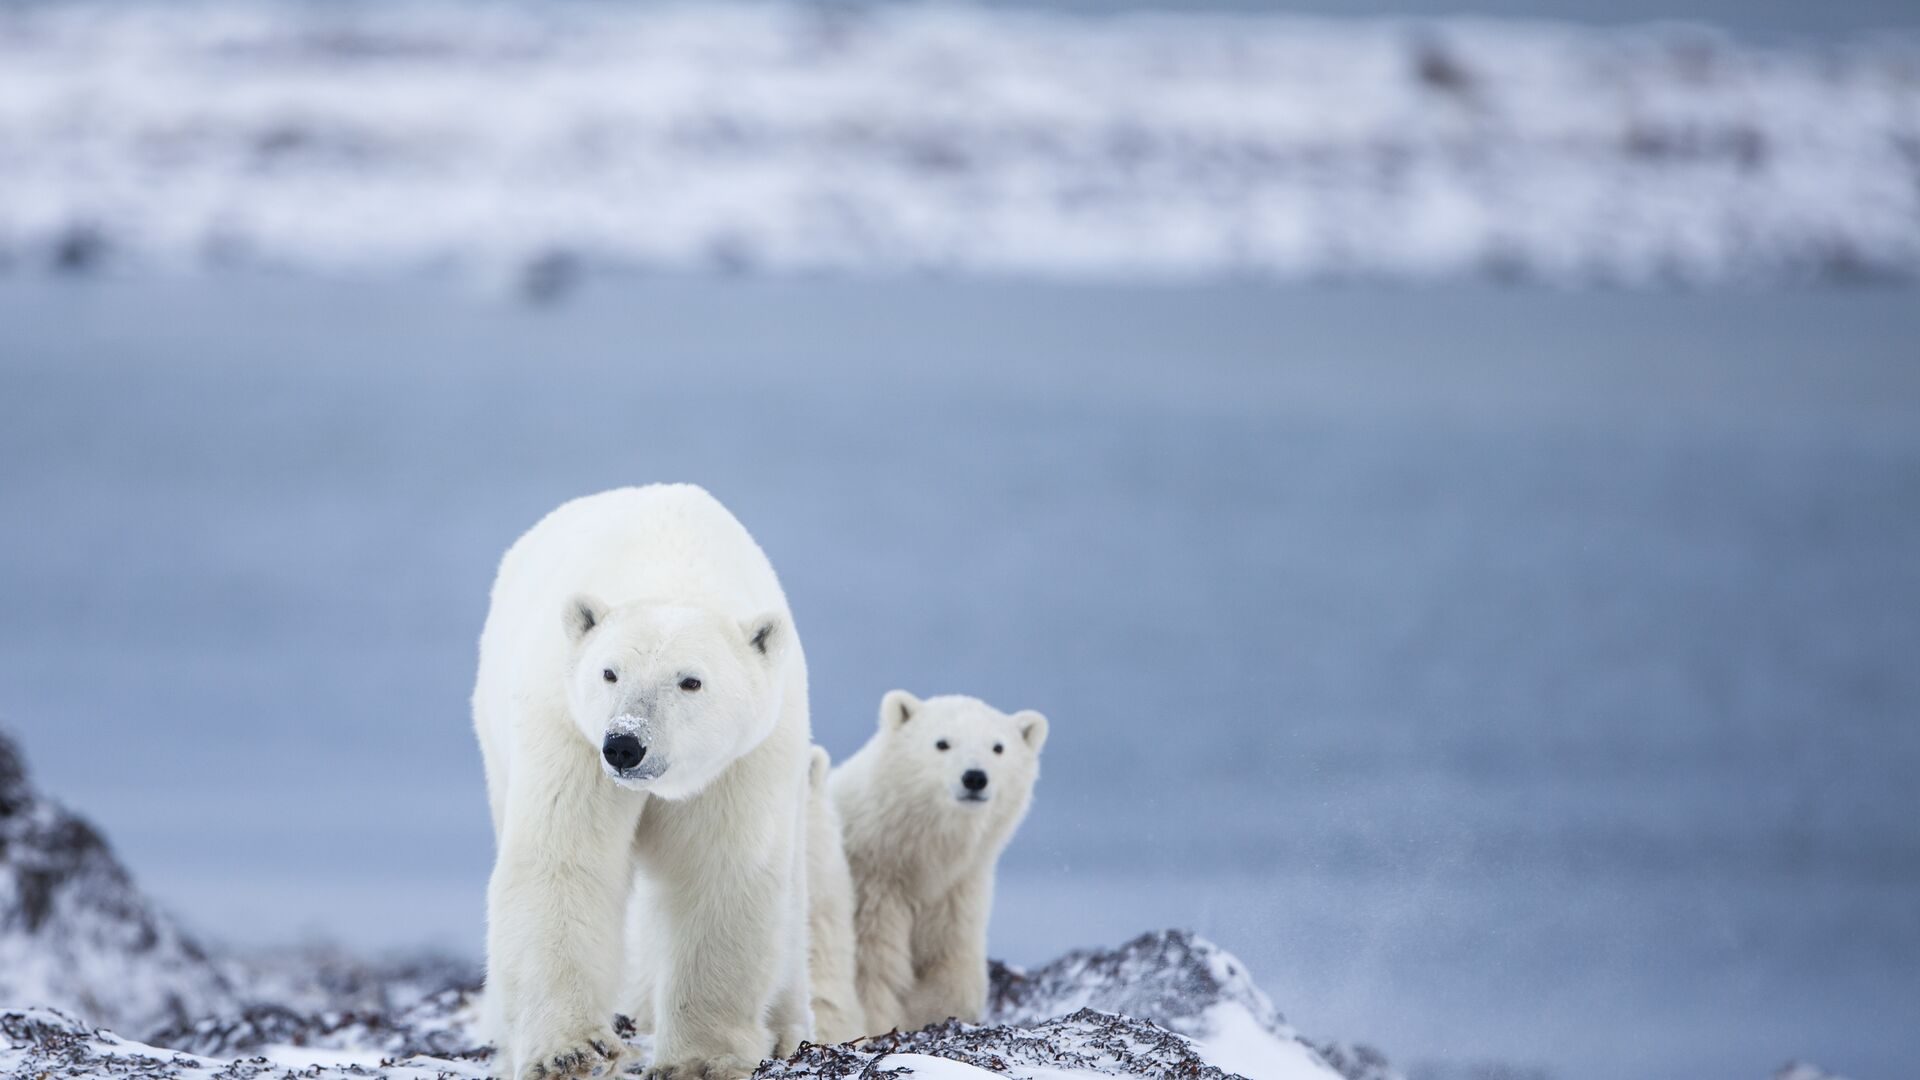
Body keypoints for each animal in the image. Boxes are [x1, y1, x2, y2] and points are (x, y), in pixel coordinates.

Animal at [471, 484, 812, 1080]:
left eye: (690, 681)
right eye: (609, 672)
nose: (625, 745)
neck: (668, 566)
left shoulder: (741, 761)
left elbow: (720, 875)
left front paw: (701, 1058)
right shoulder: (567, 729)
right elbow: (564, 859)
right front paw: (571, 1052)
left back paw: (788, 1030)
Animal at [830, 690, 1048, 1034]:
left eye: (998, 747)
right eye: (942, 743)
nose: (975, 778)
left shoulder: (956, 893)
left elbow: (951, 967)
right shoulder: (872, 891)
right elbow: (872, 972)